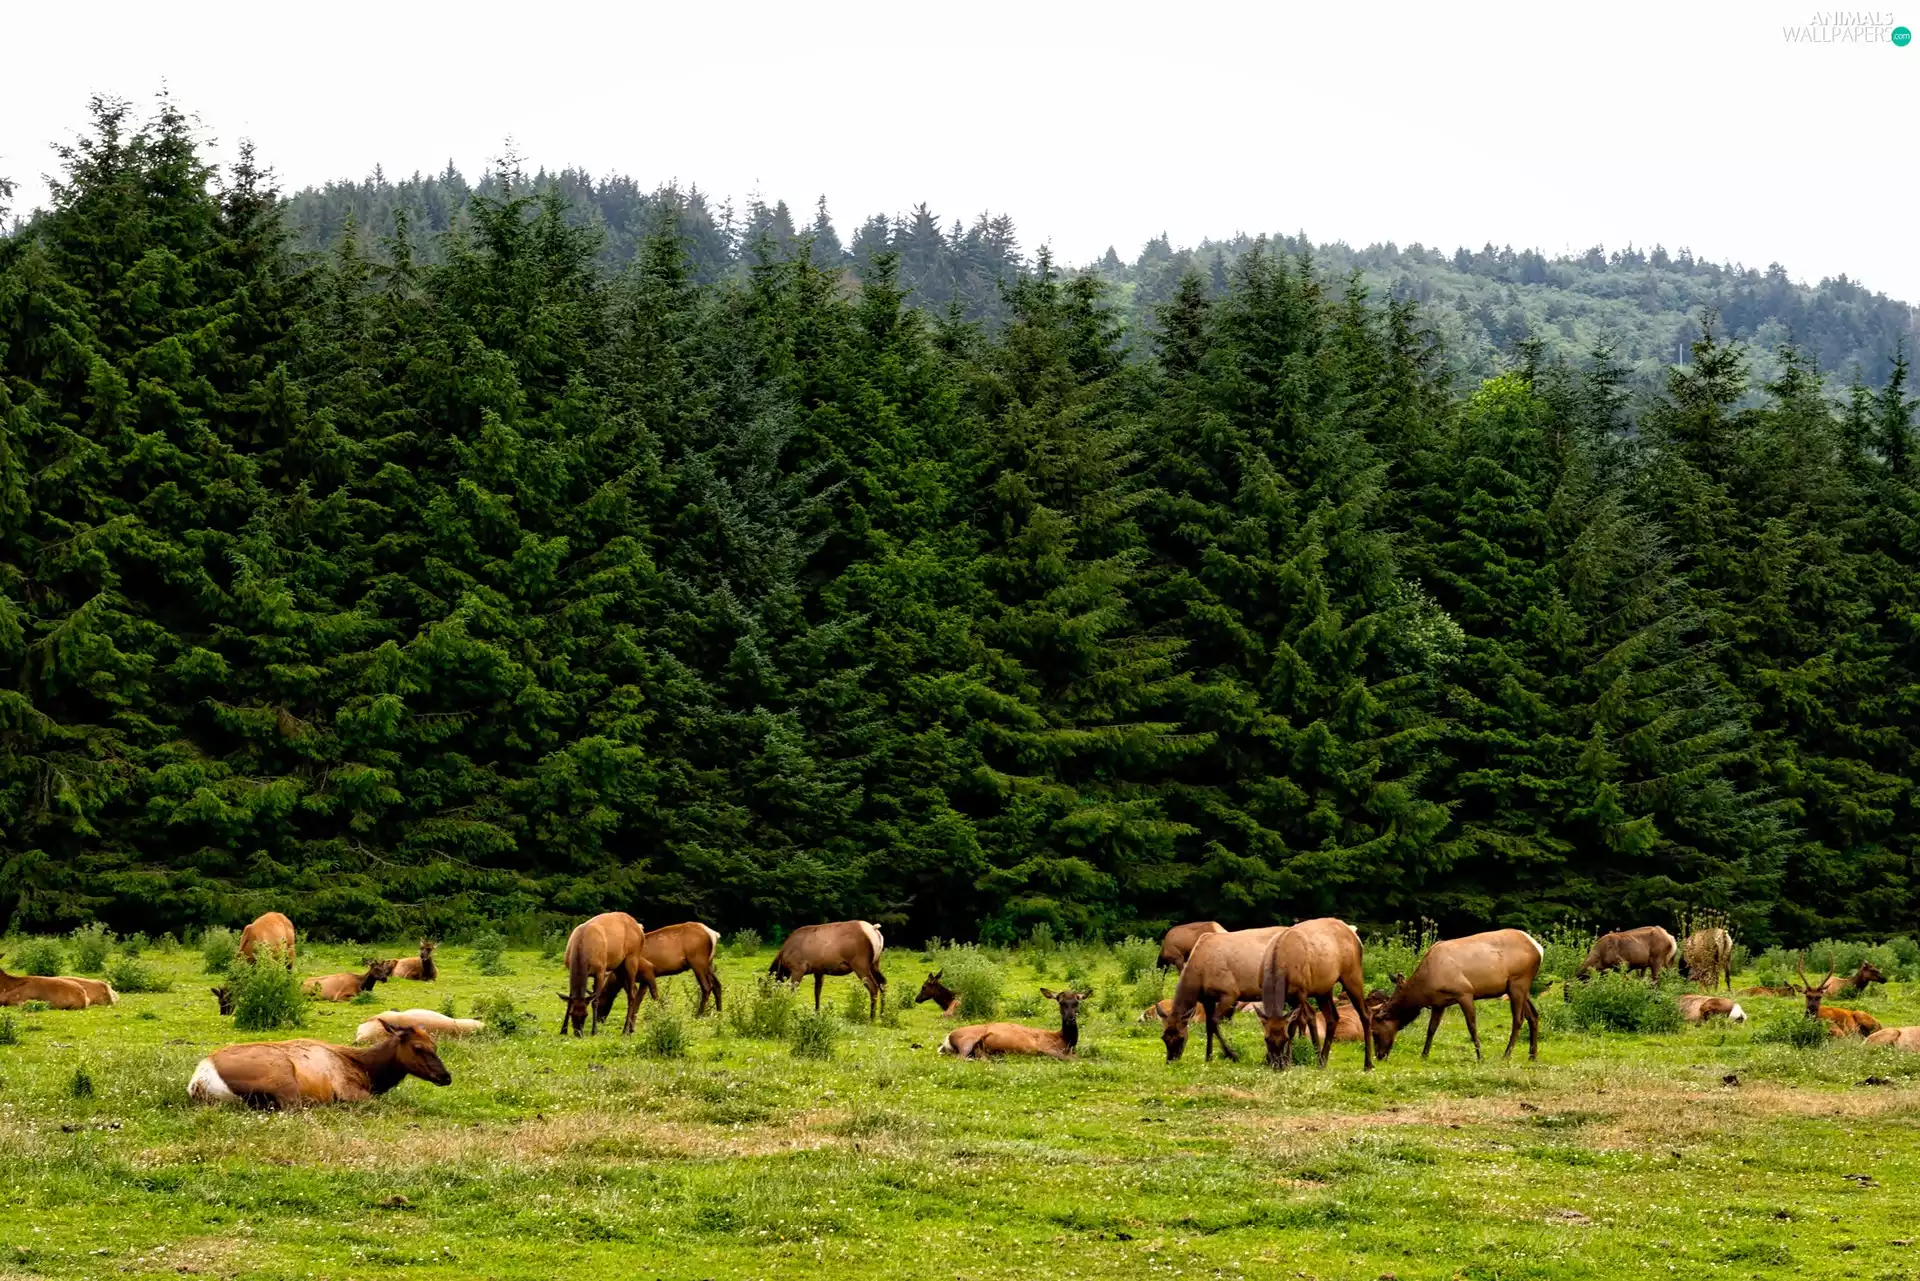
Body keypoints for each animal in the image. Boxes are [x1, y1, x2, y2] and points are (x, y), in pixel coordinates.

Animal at [188, 1020, 453, 1108]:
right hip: (283, 1077)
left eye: (435, 1045)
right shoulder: (348, 1090)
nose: (446, 1077)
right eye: (418, 1048)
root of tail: (199, 1080)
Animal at [939, 989, 1089, 1059]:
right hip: (967, 1040)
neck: (1064, 1041)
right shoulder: (1045, 1047)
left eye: (1076, 1003)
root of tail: (947, 1038)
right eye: (1061, 1002)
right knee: (961, 1057)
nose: (1070, 1019)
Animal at [1159, 925, 1288, 1062]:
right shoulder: (1207, 999)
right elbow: (1208, 1025)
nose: (1170, 1060)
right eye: (1163, 1037)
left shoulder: (1230, 993)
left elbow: (1214, 1023)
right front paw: (1208, 1056)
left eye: (1181, 1037)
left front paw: (1232, 1054)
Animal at [1257, 917, 1373, 1071]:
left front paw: (1288, 1061)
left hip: (1352, 974)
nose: (1277, 1064)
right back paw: (1322, 1061)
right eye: (1266, 1039)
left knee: (1365, 1014)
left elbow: (1294, 1025)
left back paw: (1368, 1064)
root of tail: (1355, 935)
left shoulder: (1300, 992)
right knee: (1332, 1017)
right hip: (1324, 988)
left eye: (1285, 1039)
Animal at [1371, 929, 1544, 1062]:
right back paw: (1532, 1055)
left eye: (1375, 1032)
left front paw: (1480, 1057)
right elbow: (1431, 1028)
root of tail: (1539, 949)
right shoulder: (1438, 1003)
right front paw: (1424, 1055)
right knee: (1533, 1015)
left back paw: (1506, 1055)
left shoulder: (1465, 992)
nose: (1379, 1056)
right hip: (1519, 988)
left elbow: (1472, 1026)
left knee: (1518, 1019)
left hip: (1518, 982)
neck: (1423, 990)